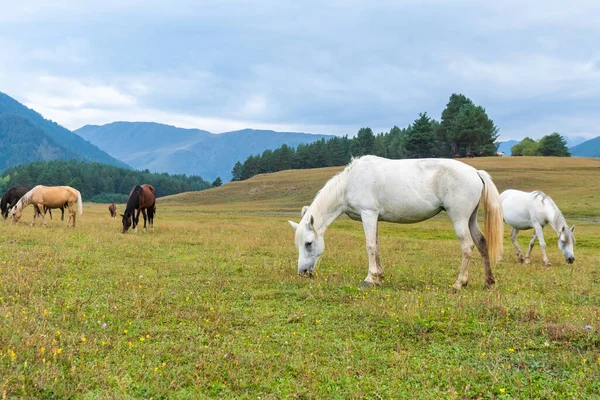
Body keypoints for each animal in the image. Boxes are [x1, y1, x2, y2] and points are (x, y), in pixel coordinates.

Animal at [288, 155, 504, 290]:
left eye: (308, 243)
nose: (303, 272)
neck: (349, 184)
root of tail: (475, 172)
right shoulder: (374, 218)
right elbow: (376, 246)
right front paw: (378, 278)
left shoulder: (368, 214)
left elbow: (370, 246)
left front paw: (369, 279)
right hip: (471, 218)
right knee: (481, 243)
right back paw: (488, 282)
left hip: (459, 218)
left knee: (467, 246)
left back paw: (459, 284)